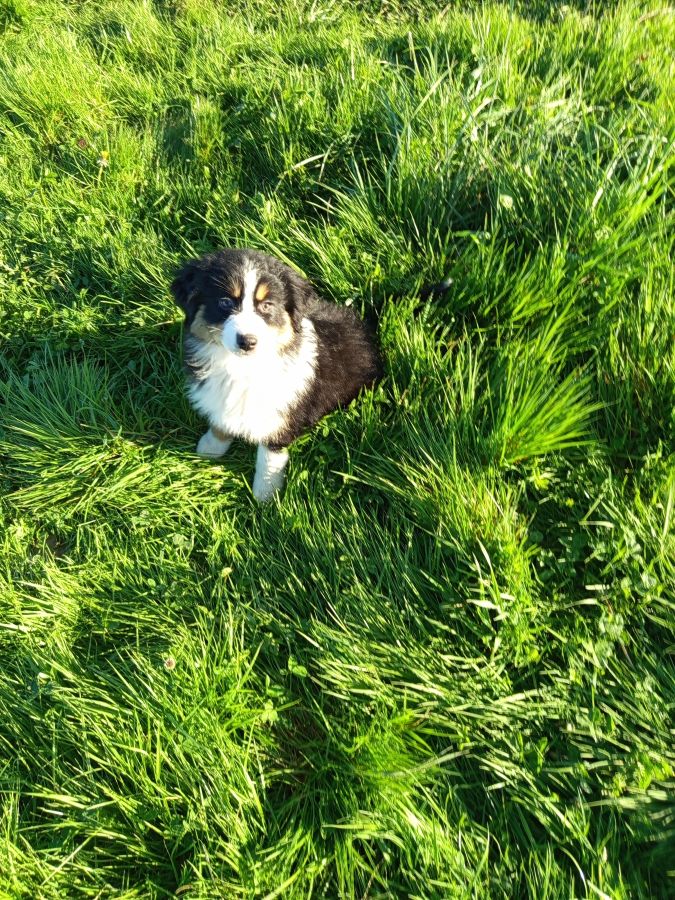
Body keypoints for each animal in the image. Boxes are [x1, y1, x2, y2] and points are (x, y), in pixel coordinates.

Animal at [171, 248, 381, 501]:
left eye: (267, 306)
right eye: (225, 302)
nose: (247, 342)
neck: (242, 366)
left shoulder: (279, 414)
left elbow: (270, 458)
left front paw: (265, 496)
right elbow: (221, 421)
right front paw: (210, 449)